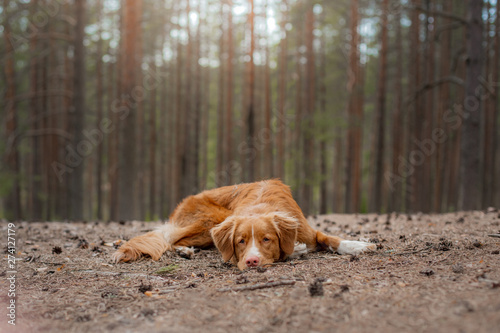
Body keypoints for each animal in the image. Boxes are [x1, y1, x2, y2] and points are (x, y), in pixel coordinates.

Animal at [112, 179, 376, 270]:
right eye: (240, 242)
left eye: (266, 239)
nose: (251, 261)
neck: (260, 206)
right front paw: (297, 250)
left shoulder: (307, 230)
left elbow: (329, 238)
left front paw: (358, 245)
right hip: (211, 219)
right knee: (171, 239)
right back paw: (185, 251)